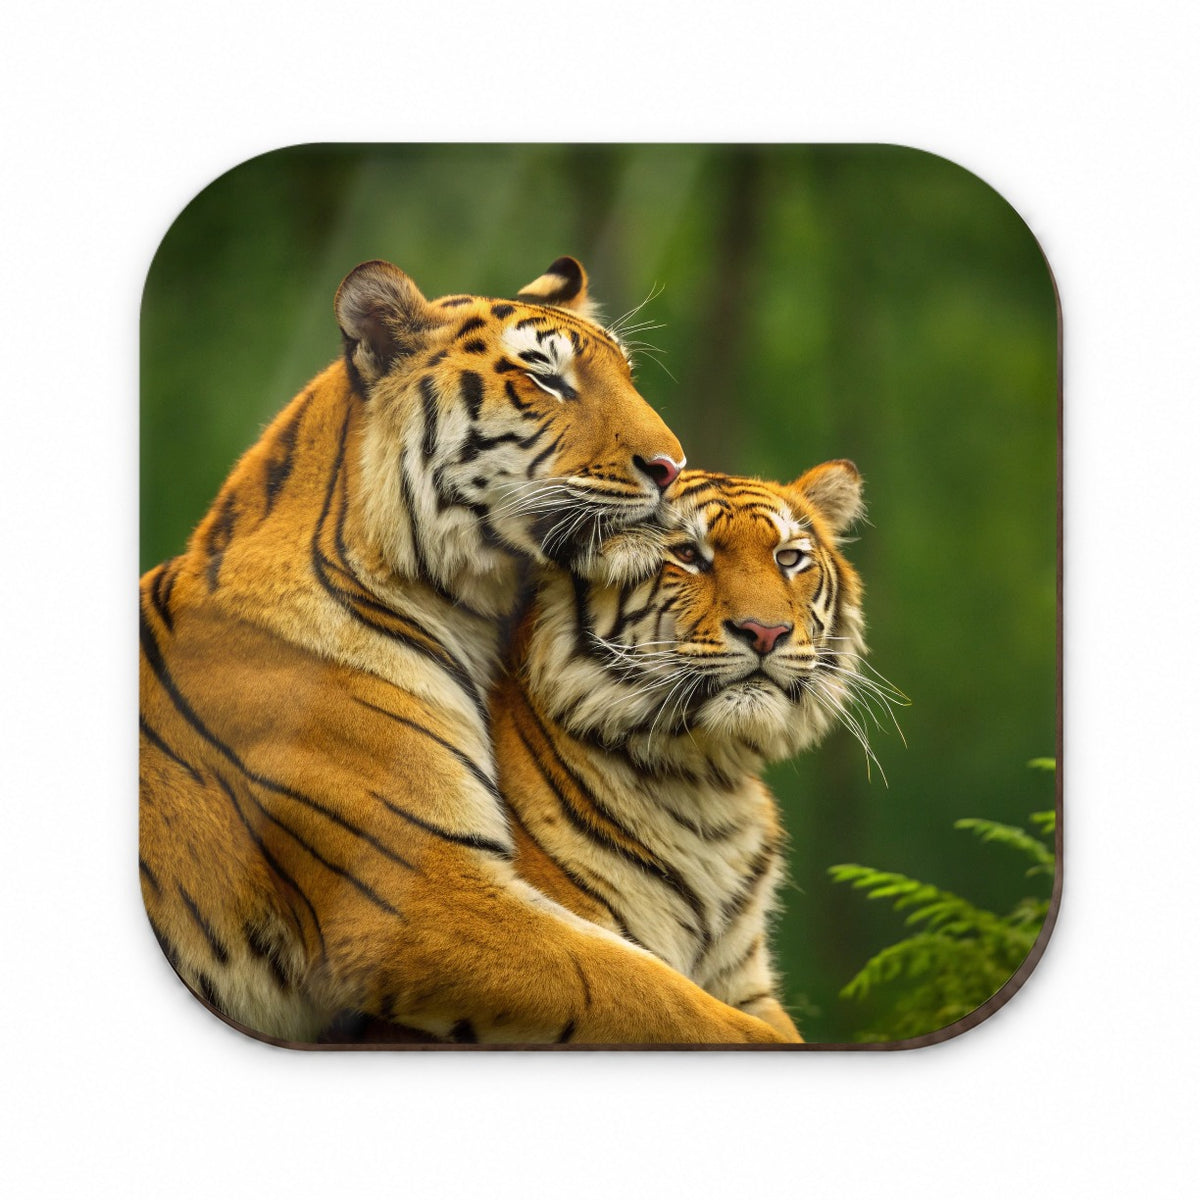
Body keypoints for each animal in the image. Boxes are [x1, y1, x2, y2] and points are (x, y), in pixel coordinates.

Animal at [139, 255, 792, 1045]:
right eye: (546, 378)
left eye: (627, 374)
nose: (670, 466)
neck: (468, 611)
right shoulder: (425, 897)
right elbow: (654, 995)